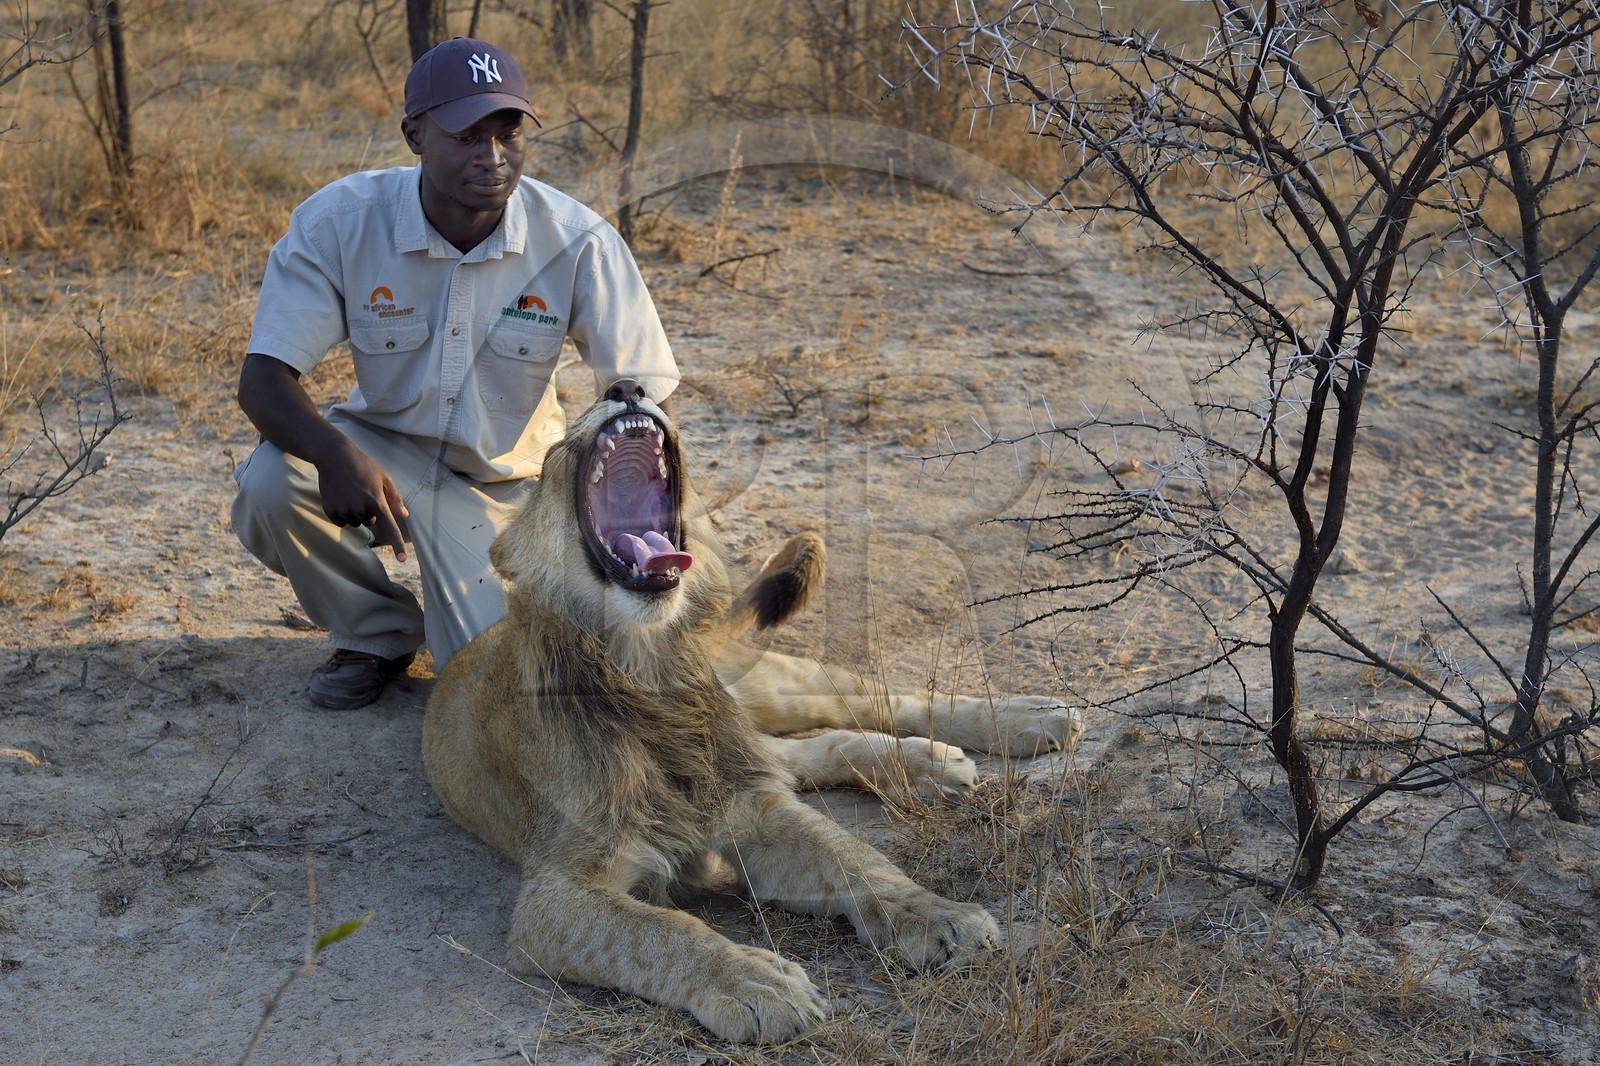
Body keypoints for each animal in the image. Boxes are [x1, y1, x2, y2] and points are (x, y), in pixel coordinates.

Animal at [422, 380, 1081, 1043]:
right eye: (554, 452)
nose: (627, 387)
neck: (648, 672)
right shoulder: (553, 895)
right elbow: (659, 931)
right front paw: (755, 982)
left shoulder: (747, 802)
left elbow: (853, 858)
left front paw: (940, 916)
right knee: (813, 751)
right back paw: (935, 764)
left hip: (770, 691)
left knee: (876, 701)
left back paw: (1031, 718)